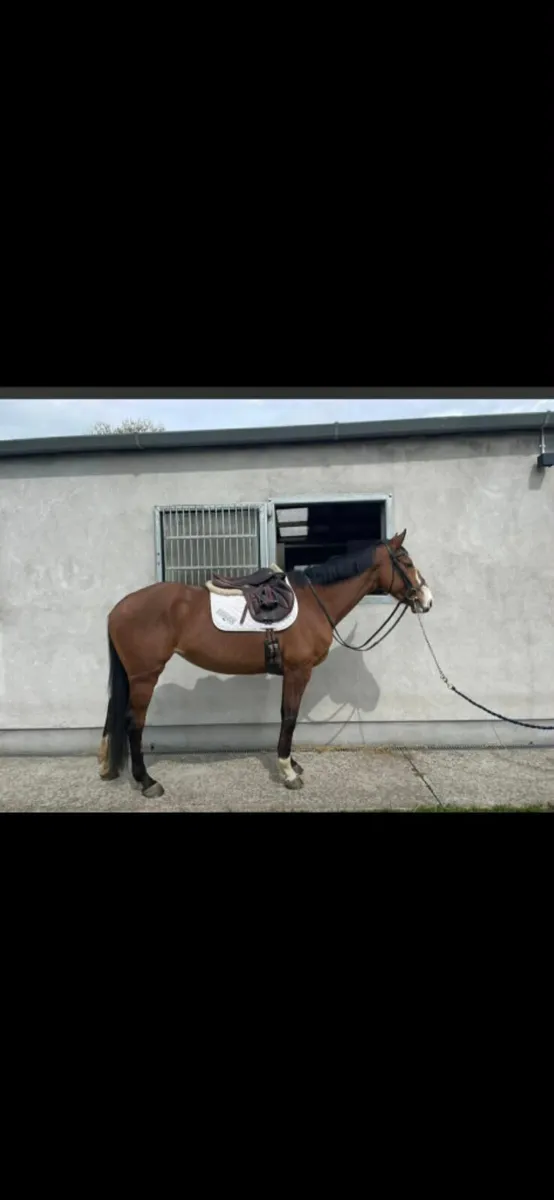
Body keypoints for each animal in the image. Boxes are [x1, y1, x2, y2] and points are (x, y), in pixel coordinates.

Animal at [98, 530, 433, 797]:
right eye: (406, 562)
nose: (426, 600)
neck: (313, 602)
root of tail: (118, 609)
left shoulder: (291, 673)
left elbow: (285, 714)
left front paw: (292, 763)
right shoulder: (299, 671)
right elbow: (291, 716)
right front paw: (288, 771)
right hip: (145, 676)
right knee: (134, 723)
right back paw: (147, 781)